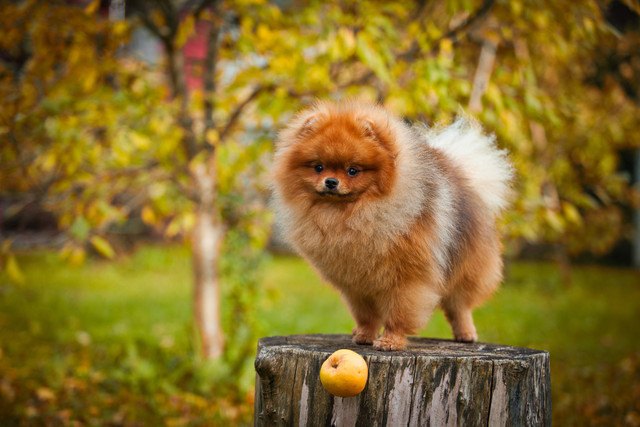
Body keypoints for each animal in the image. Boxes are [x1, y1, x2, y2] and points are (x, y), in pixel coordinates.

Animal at [272, 100, 512, 352]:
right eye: (318, 167)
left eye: (353, 170)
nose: (331, 182)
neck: (351, 216)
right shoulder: (356, 286)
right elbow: (367, 315)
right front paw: (365, 334)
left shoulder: (407, 281)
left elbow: (399, 314)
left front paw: (390, 341)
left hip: (466, 268)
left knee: (459, 305)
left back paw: (466, 333)